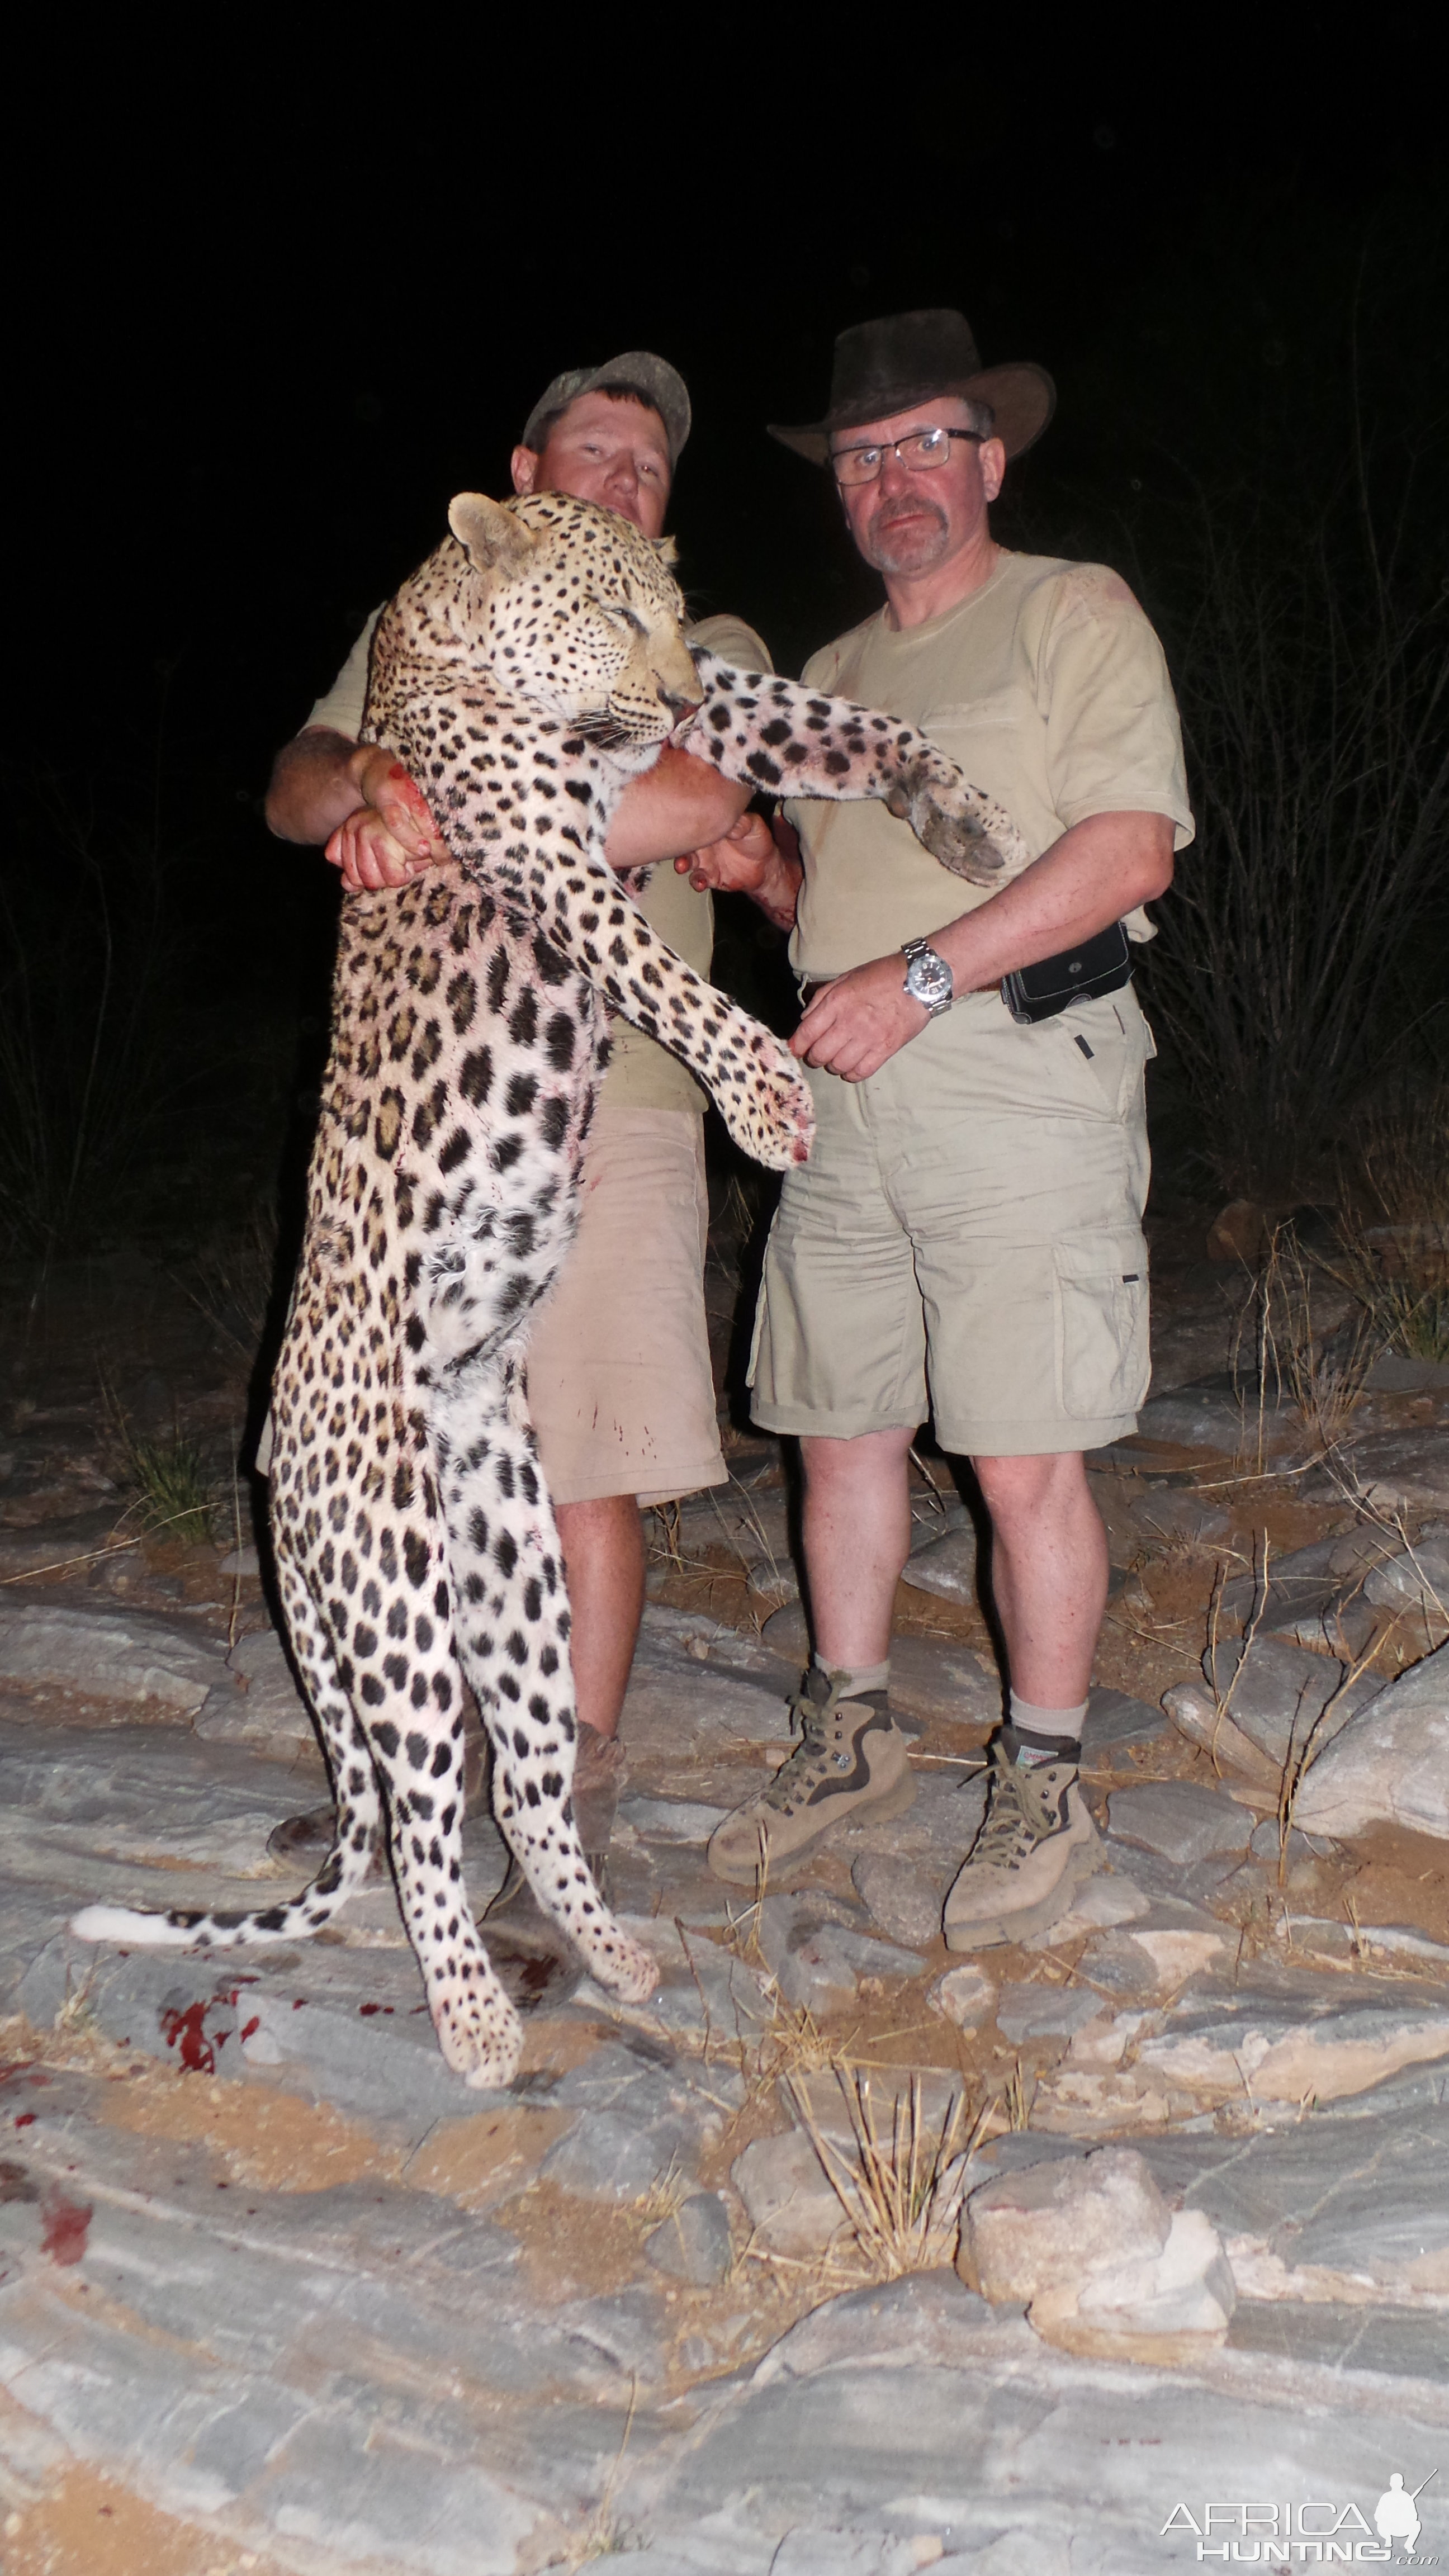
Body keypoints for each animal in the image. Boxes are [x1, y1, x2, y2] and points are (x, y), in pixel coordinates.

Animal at [76, 486, 1026, 2091]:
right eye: (608, 608)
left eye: (676, 608)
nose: (675, 689)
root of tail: (274, 1451)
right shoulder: (544, 840)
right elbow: (668, 975)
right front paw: (769, 1096)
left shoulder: (697, 727)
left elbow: (837, 715)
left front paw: (961, 811)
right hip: (394, 1582)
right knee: (416, 1815)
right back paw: (475, 2023)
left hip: (512, 1566)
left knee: (524, 1778)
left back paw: (614, 1955)